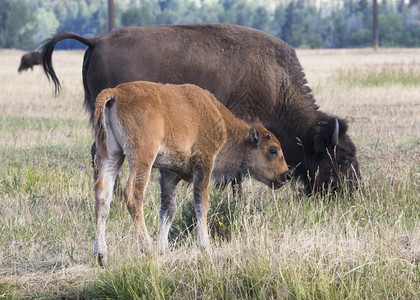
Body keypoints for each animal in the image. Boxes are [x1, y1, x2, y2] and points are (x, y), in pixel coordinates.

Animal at [93, 80, 290, 264]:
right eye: (273, 150)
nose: (286, 175)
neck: (221, 123)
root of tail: (116, 93)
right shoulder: (204, 165)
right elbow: (201, 204)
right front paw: (204, 245)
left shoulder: (169, 174)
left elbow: (168, 209)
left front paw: (163, 248)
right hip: (142, 157)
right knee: (133, 194)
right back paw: (146, 248)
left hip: (112, 155)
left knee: (103, 197)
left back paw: (101, 255)